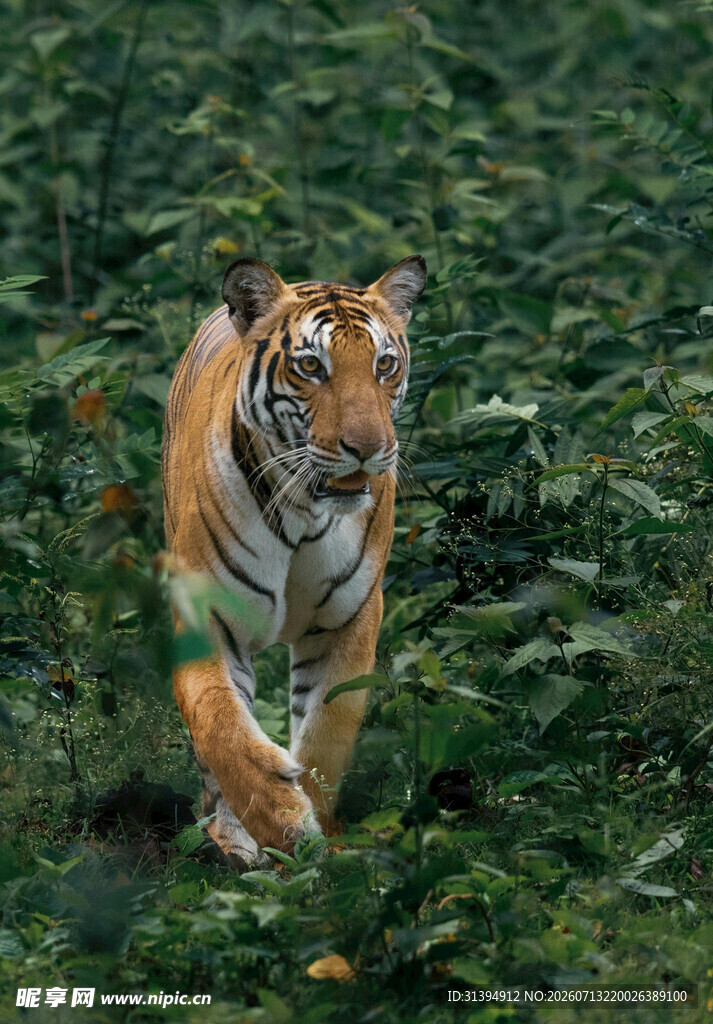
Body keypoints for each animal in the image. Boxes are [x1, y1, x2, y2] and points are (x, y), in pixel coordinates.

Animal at [162, 254, 427, 868]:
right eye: (311, 366)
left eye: (384, 364)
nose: (367, 448)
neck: (305, 510)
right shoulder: (206, 614)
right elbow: (221, 724)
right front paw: (280, 824)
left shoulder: (349, 619)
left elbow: (328, 732)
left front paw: (317, 833)